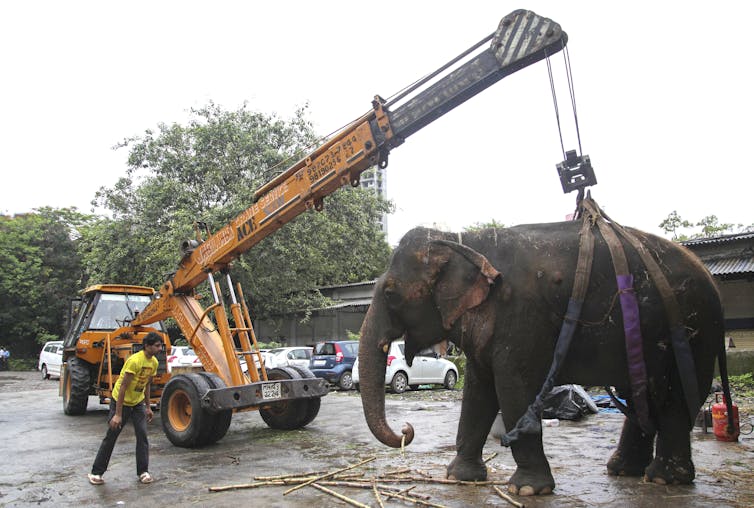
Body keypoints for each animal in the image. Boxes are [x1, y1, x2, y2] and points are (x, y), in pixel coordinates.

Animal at [358, 221, 728, 496]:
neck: (463, 241)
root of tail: (710, 280)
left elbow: (513, 389)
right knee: (642, 394)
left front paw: (526, 491)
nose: (407, 429)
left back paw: (665, 478)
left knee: (674, 396)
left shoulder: (521, 317)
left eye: (390, 293)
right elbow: (478, 391)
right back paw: (623, 470)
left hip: (694, 329)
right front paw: (459, 477)